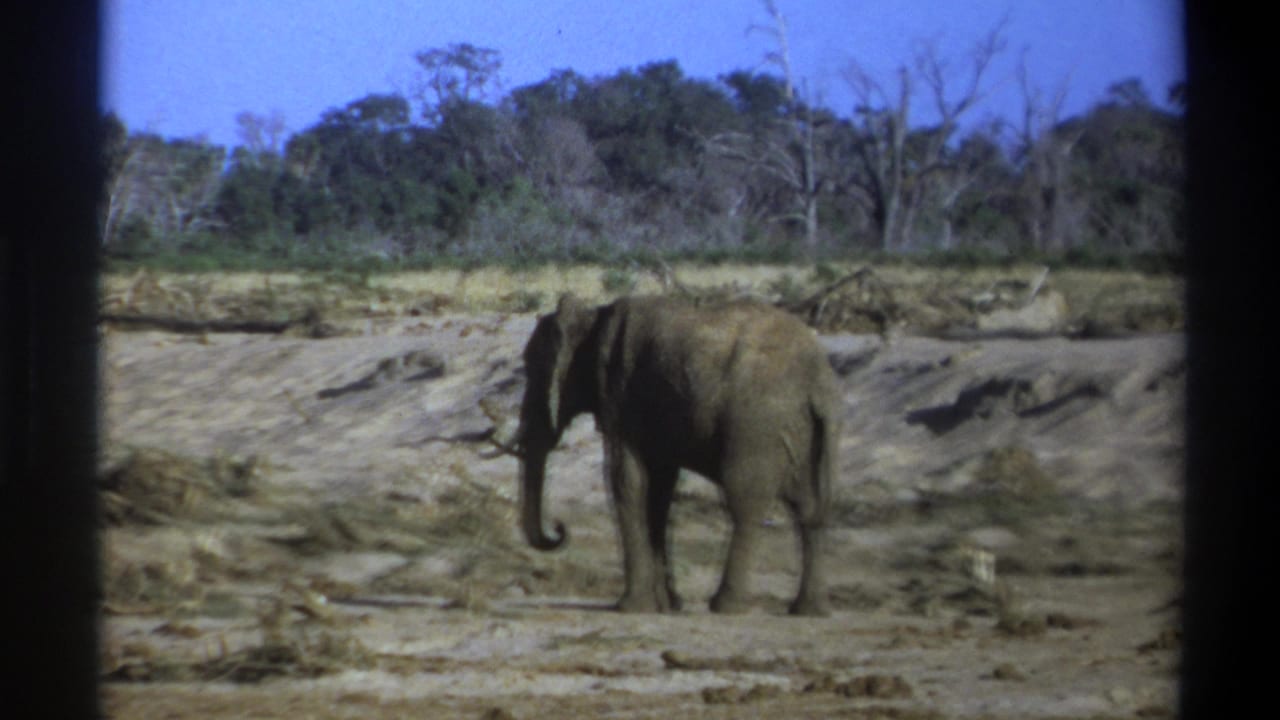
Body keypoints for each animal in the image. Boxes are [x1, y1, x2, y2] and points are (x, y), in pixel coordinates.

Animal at [514, 294, 839, 616]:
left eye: (531, 368)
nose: (559, 529)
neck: (593, 316)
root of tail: (818, 382)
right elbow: (658, 490)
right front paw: (667, 605)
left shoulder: (619, 395)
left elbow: (627, 481)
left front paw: (631, 607)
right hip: (804, 431)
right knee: (810, 510)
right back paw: (809, 610)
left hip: (757, 425)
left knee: (746, 503)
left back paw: (726, 606)